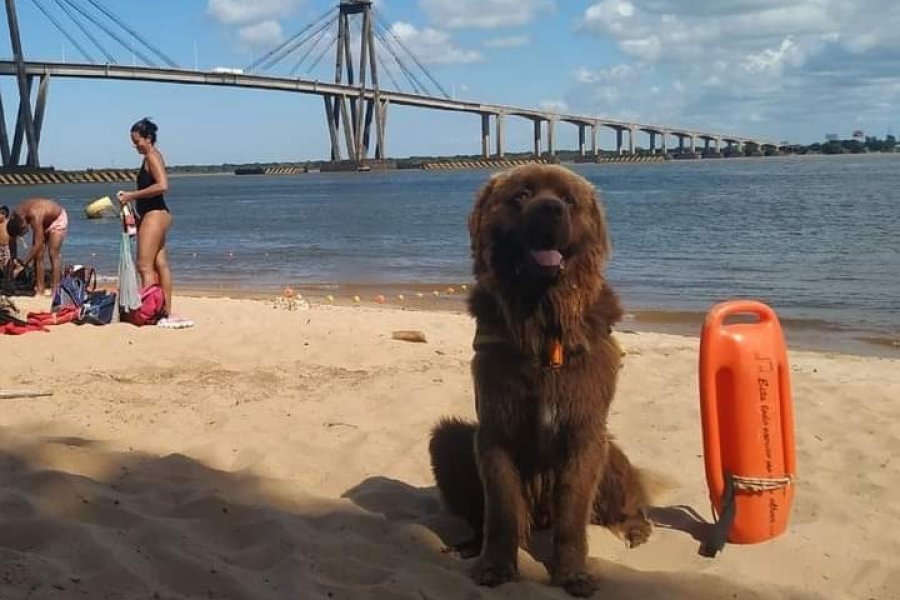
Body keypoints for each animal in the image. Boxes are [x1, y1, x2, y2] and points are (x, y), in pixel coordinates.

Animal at [430, 163, 652, 596]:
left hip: (611, 451)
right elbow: (500, 511)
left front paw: (572, 574)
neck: (542, 319)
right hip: (448, 440)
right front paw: (496, 567)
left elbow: (573, 518)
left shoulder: (585, 432)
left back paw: (635, 528)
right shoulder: (495, 428)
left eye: (568, 200)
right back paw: (469, 546)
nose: (550, 209)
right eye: (521, 195)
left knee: (627, 498)